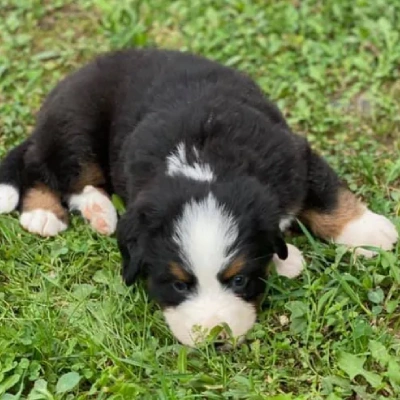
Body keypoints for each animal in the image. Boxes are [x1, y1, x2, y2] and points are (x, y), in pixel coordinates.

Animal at [0, 48, 396, 346]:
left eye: (239, 280)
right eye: (178, 285)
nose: (215, 337)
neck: (202, 161)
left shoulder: (293, 156)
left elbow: (329, 193)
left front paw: (369, 232)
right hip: (76, 123)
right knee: (46, 166)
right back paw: (46, 213)